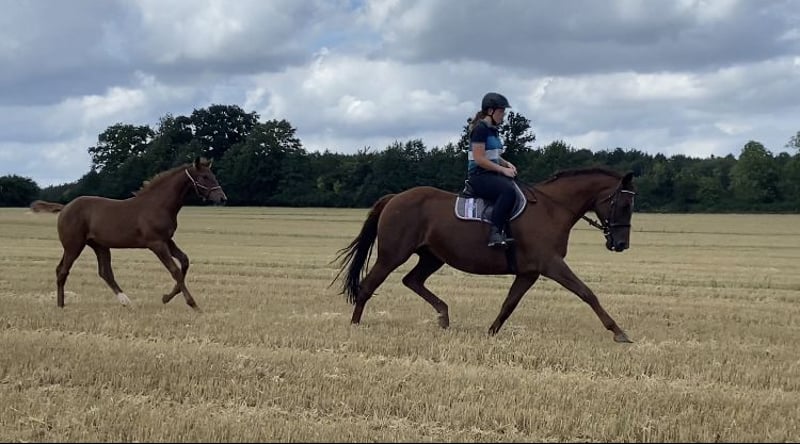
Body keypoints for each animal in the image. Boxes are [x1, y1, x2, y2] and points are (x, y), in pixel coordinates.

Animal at [55, 157, 227, 310]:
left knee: (104, 273)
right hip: (74, 245)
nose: (222, 198)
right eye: (204, 177)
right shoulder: (156, 244)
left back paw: (126, 302)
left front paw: (166, 297)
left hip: (100, 246)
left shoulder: (167, 240)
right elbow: (175, 270)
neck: (159, 205)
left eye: (213, 175)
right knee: (63, 271)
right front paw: (193, 304)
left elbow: (184, 261)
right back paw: (61, 305)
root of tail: (64, 208)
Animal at [333, 167, 637, 343]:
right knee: (368, 285)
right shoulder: (551, 264)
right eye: (623, 204)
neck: (552, 208)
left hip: (432, 256)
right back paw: (355, 326)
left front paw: (490, 333)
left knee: (412, 281)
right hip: (393, 255)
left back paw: (443, 316)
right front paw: (619, 332)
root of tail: (395, 198)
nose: (621, 244)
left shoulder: (529, 272)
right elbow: (587, 293)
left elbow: (509, 304)